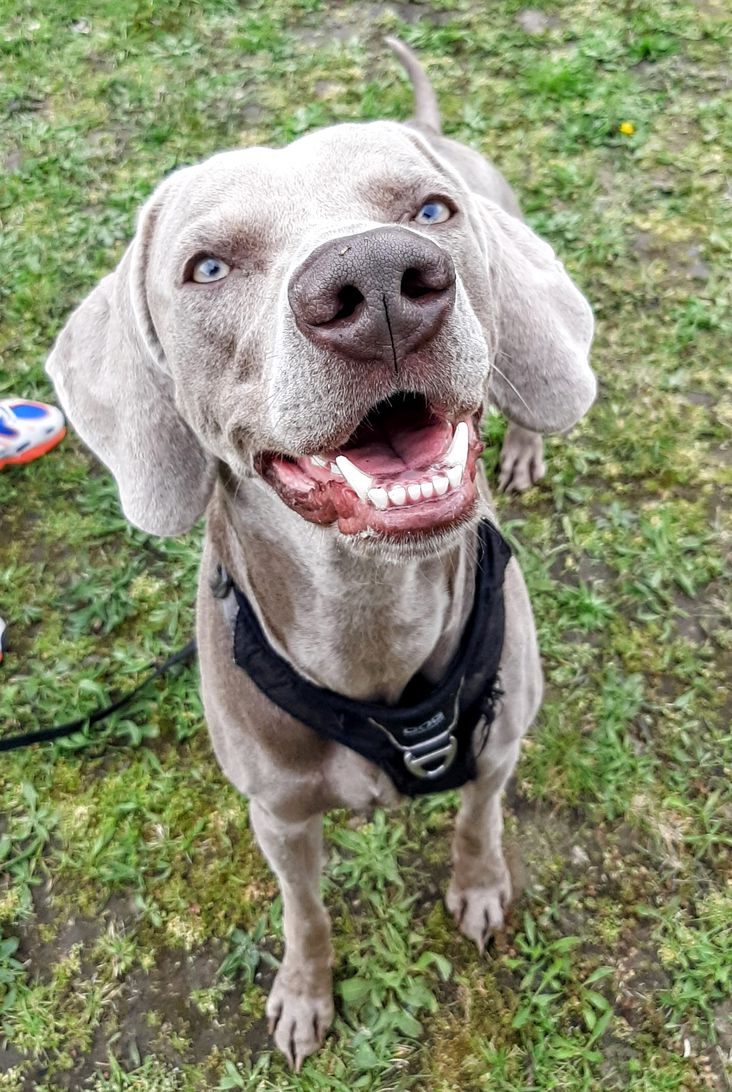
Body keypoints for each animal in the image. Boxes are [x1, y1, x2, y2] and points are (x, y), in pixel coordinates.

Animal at [47, 38, 594, 1070]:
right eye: (207, 266)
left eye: (430, 211)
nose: (378, 283)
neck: (370, 615)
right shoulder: (279, 815)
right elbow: (304, 912)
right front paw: (305, 994)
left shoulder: (501, 747)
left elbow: (480, 819)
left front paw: (480, 886)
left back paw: (527, 446)